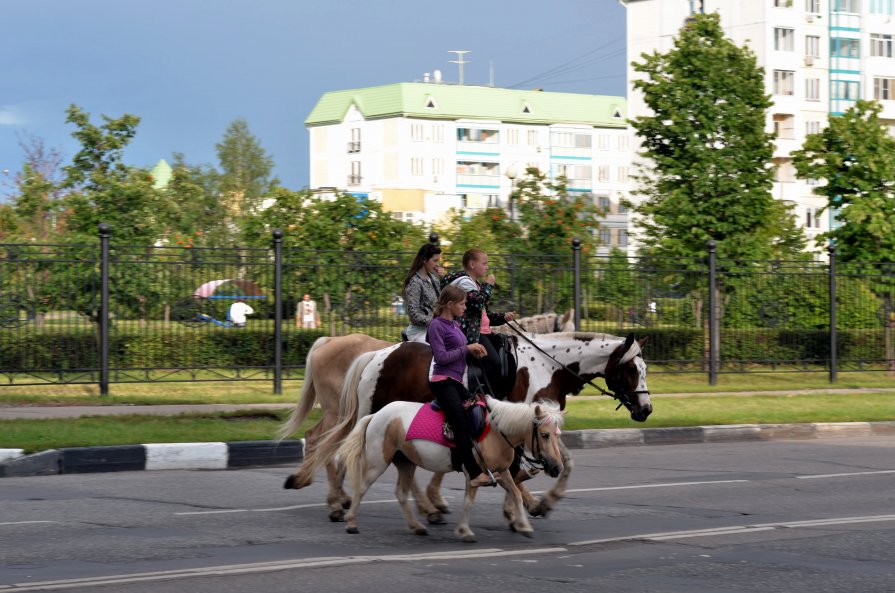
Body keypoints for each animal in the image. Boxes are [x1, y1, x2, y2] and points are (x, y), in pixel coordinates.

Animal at [290, 330, 656, 520]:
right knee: (336, 449)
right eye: (631, 369)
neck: (546, 366)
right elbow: (520, 466)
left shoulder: (540, 426)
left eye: (645, 369)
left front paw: (537, 501)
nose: (646, 409)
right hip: (365, 415)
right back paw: (339, 501)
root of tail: (376, 356)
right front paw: (521, 503)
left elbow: (558, 462)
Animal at [340, 396, 564, 544]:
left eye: (557, 434)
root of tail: (376, 414)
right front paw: (465, 531)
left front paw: (524, 526)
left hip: (406, 463)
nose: (557, 468)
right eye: (544, 434)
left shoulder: (503, 472)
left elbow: (516, 494)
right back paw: (351, 523)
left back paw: (416, 526)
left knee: (401, 493)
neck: (495, 432)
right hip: (378, 461)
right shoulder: (473, 474)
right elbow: (469, 502)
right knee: (361, 488)